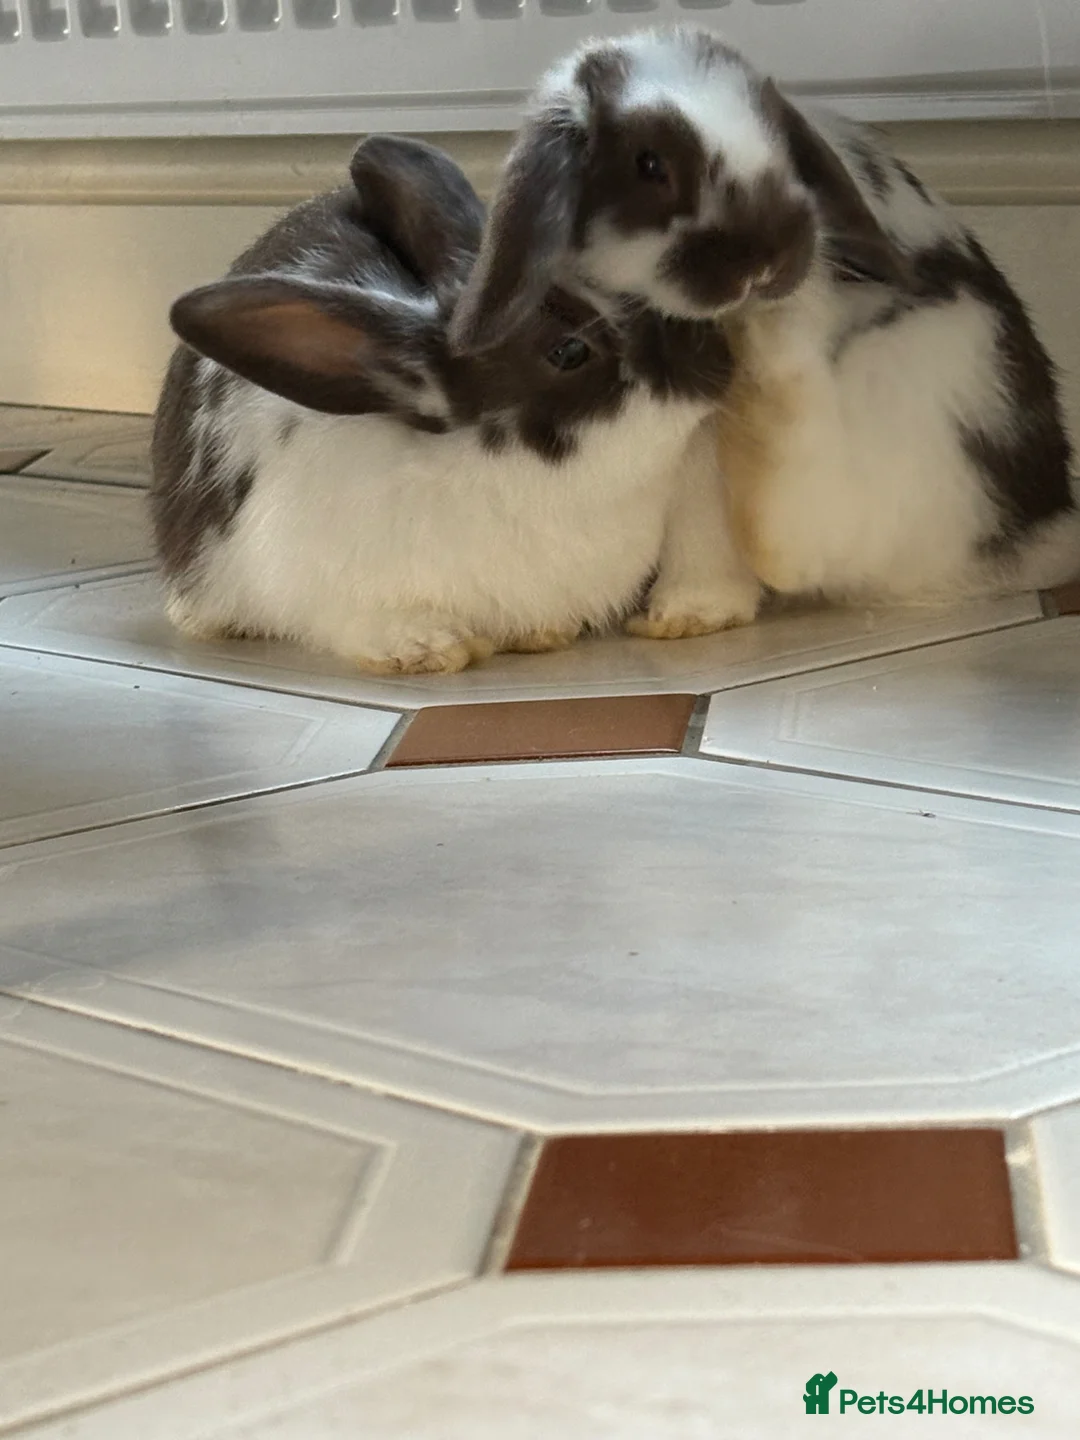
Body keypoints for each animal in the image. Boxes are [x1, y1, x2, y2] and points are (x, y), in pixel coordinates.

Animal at [451, 26, 1079, 629]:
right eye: (649, 164)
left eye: (780, 142)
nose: (766, 264)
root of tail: (1036, 537)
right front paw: (684, 616)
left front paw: (696, 612)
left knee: (807, 533)